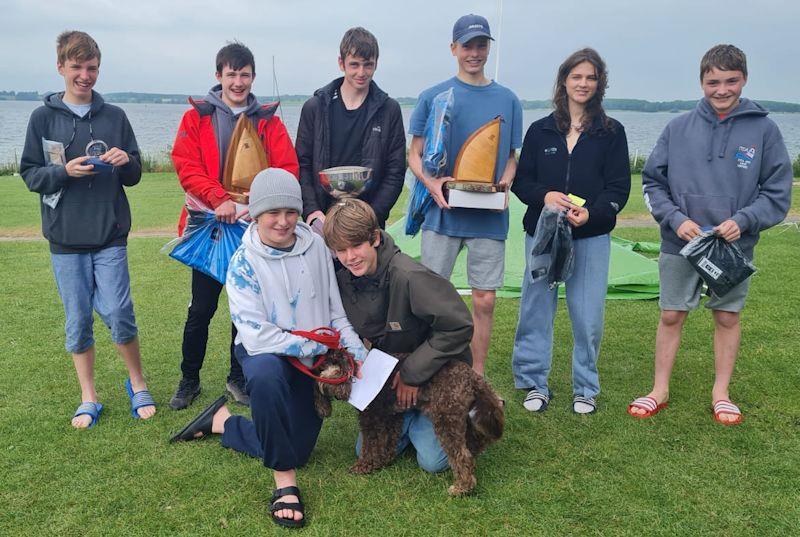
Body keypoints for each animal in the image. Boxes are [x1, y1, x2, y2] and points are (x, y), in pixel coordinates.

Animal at [316, 352, 504, 494]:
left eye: (337, 363)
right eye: (323, 365)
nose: (327, 379)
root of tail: (472, 377)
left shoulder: (371, 417)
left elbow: (370, 445)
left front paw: (364, 466)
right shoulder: (391, 416)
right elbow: (387, 441)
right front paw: (382, 461)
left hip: (446, 419)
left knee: (462, 456)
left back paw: (462, 487)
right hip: (462, 416)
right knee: (477, 441)